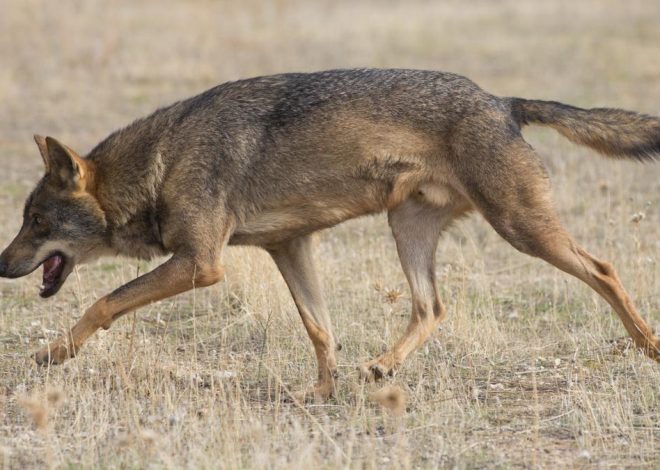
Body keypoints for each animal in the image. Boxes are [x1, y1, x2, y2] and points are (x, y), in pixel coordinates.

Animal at [0, 70, 656, 400]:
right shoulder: (289, 246)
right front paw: (320, 392)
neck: (160, 163)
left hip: (521, 229)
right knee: (432, 306)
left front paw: (54, 352)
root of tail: (503, 101)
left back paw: (648, 345)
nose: (1, 265)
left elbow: (103, 302)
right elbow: (321, 330)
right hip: (409, 230)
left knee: (604, 270)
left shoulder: (200, 264)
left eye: (37, 223)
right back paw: (382, 368)